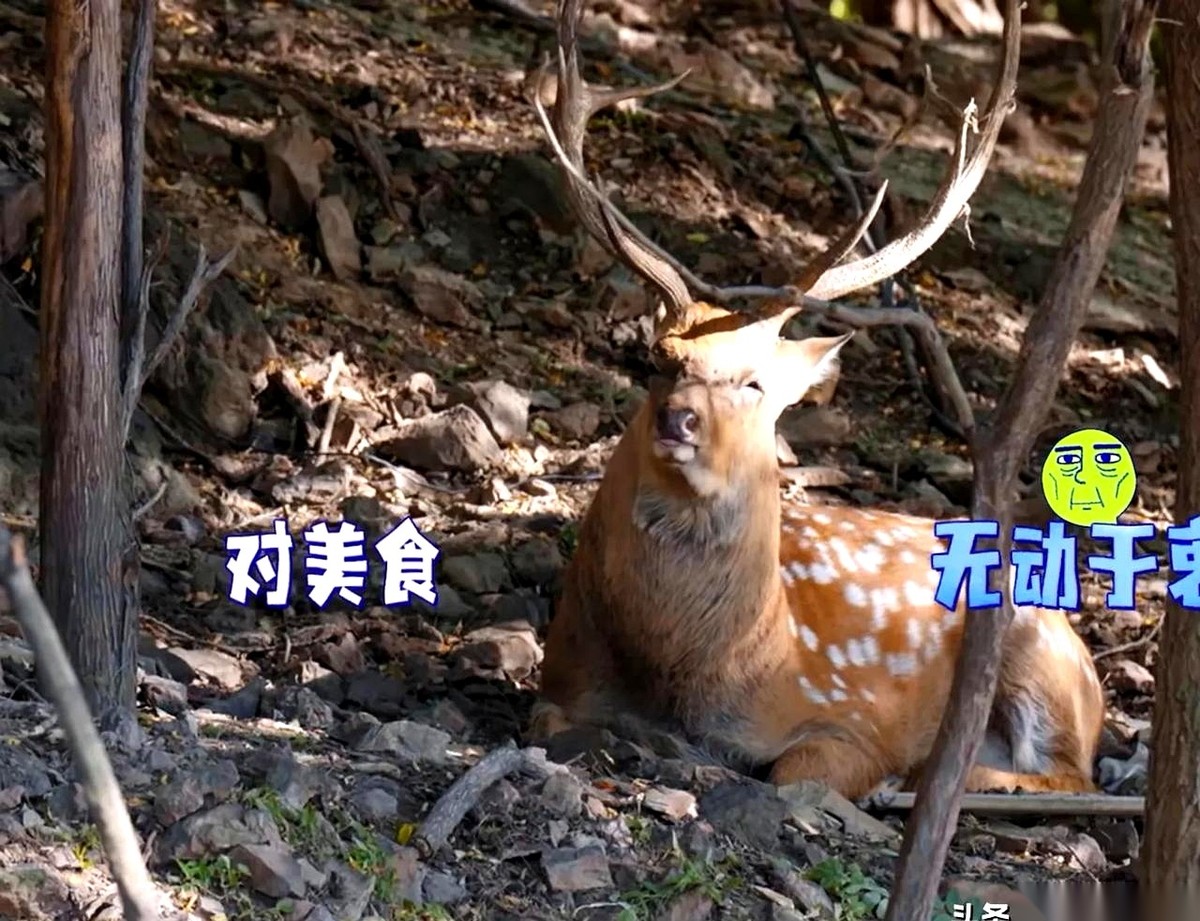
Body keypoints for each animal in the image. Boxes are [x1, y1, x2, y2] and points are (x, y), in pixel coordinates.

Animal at [525, 0, 1105, 801]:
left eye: (755, 382)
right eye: (658, 360)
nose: (680, 419)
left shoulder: (848, 710)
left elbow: (796, 770)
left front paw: (880, 777)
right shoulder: (561, 674)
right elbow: (548, 723)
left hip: (1038, 653)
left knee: (1073, 773)